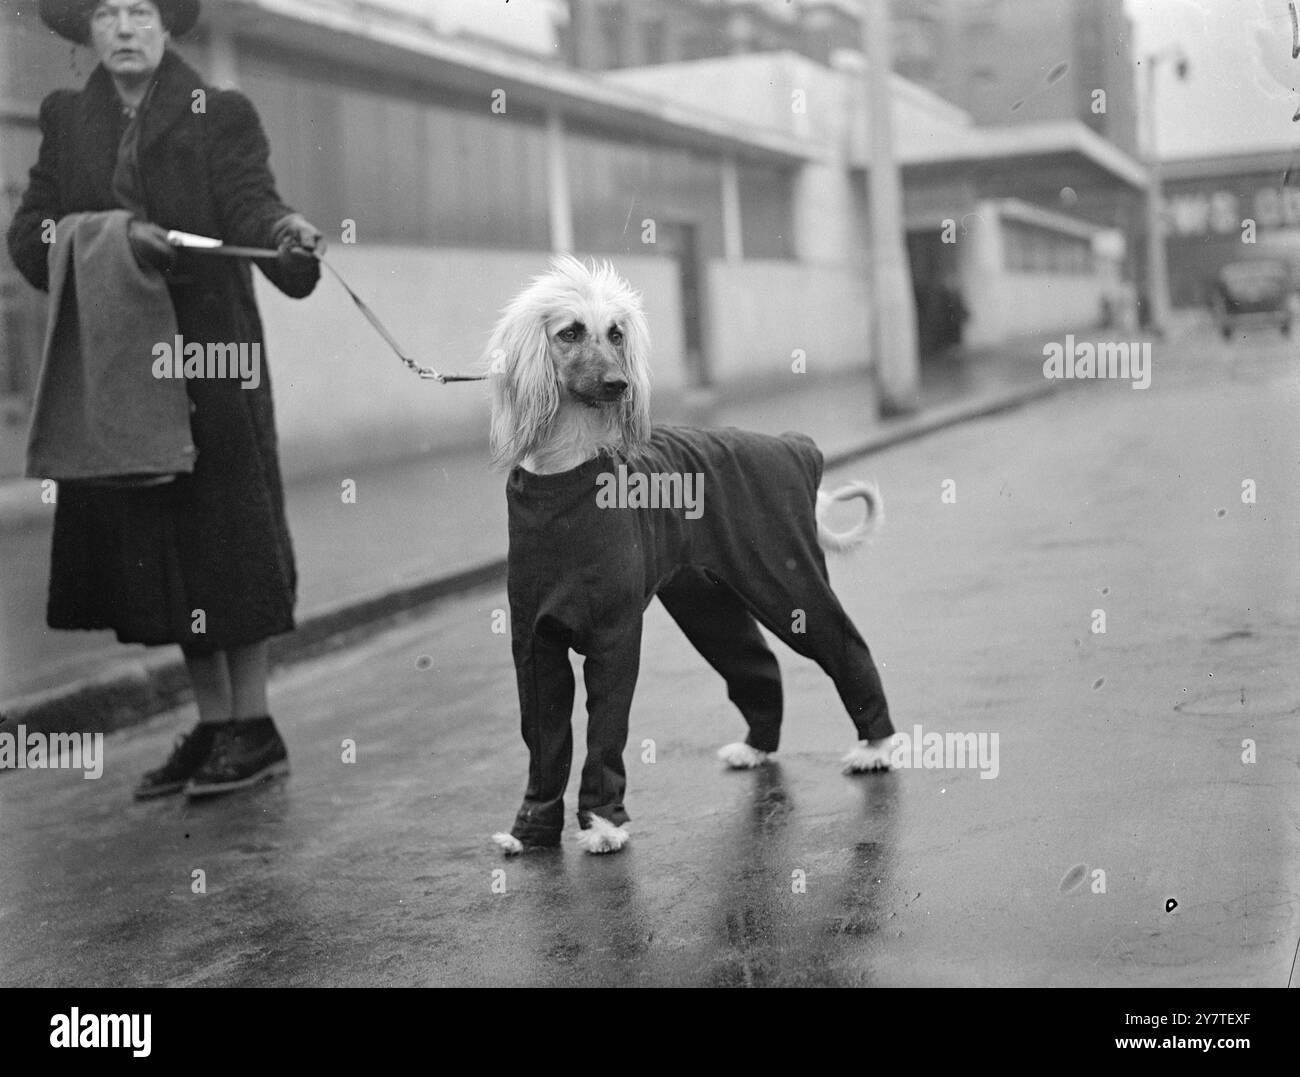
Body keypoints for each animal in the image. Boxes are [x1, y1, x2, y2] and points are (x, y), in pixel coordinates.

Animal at [486, 256, 894, 853]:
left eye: (616, 333)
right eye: (570, 333)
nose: (618, 384)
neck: (566, 470)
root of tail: (793, 446)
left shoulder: (613, 636)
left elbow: (606, 729)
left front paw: (604, 823)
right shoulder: (534, 646)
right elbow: (544, 737)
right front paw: (531, 831)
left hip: (786, 580)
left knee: (848, 647)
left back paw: (876, 749)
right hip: (706, 600)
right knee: (757, 663)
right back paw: (757, 747)